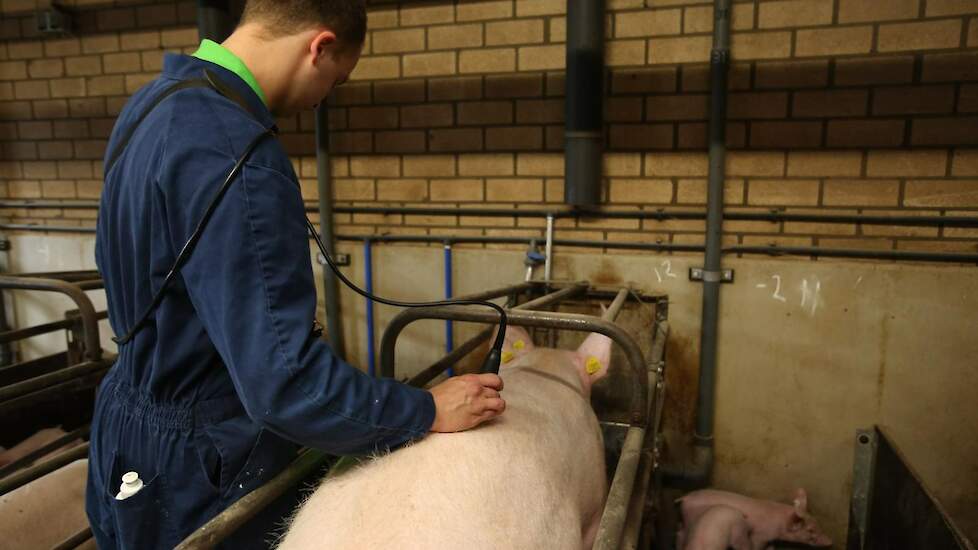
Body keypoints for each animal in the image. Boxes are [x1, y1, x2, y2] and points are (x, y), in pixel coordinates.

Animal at [680, 490, 832, 548]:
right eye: (810, 530)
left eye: (817, 522)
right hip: (691, 520)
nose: (831, 541)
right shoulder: (760, 535)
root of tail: (686, 497)